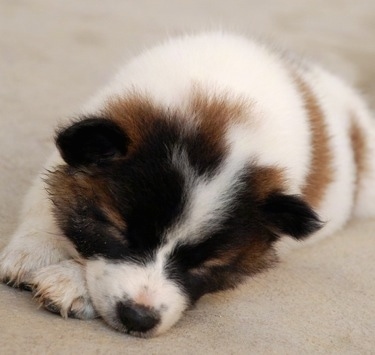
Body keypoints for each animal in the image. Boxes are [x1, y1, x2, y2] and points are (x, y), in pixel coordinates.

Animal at [0, 32, 375, 336]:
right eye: (118, 232)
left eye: (207, 265)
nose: (139, 318)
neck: (220, 110)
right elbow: (48, 197)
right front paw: (36, 250)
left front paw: (71, 282)